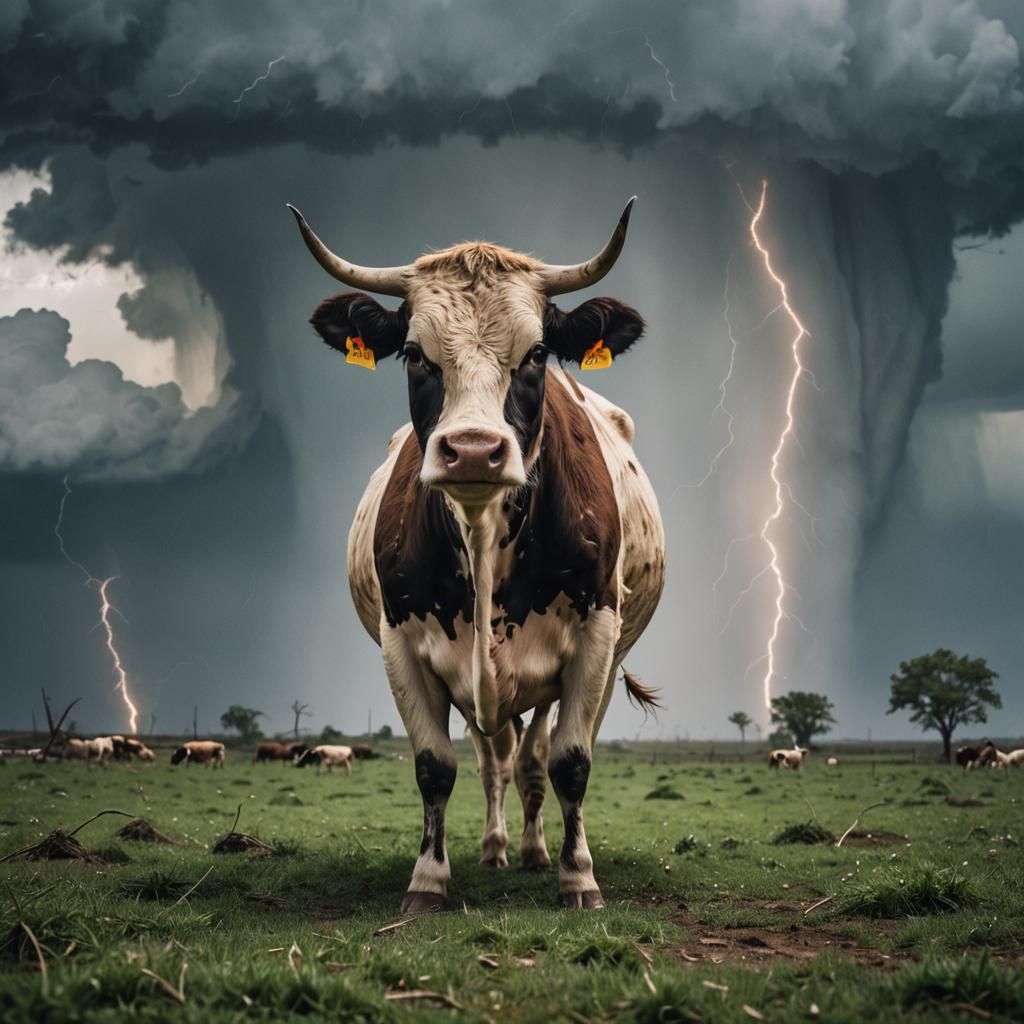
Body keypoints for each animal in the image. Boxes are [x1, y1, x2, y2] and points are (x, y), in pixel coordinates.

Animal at [289, 197, 665, 913]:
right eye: (414, 354)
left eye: (538, 352)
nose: (470, 450)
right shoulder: (402, 643)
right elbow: (435, 767)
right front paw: (427, 880)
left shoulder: (596, 636)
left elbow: (571, 762)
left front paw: (578, 878)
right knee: (498, 760)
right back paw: (495, 850)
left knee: (536, 759)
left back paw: (537, 851)